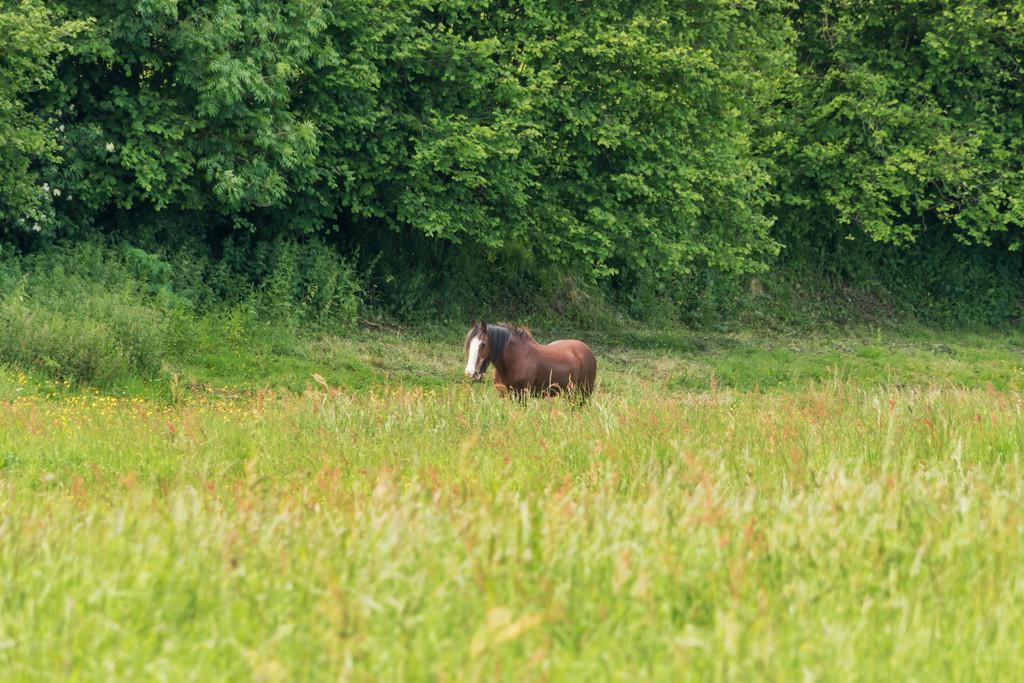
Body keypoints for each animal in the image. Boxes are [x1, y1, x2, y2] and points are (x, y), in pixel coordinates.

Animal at [462, 321, 598, 401]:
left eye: (483, 344)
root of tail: (587, 350)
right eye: (469, 343)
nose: (470, 372)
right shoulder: (503, 394)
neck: (515, 360)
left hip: (583, 393)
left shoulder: (521, 395)